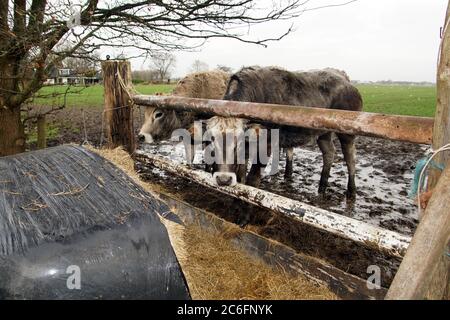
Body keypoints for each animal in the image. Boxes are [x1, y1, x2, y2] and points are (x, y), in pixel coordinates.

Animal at [206, 65, 364, 200]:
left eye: (238, 141)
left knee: (350, 158)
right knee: (329, 153)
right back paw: (321, 187)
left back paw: (351, 191)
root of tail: (344, 78)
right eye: (212, 140)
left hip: (347, 134)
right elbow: (241, 177)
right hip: (323, 133)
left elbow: (252, 180)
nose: (223, 179)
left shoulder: (266, 144)